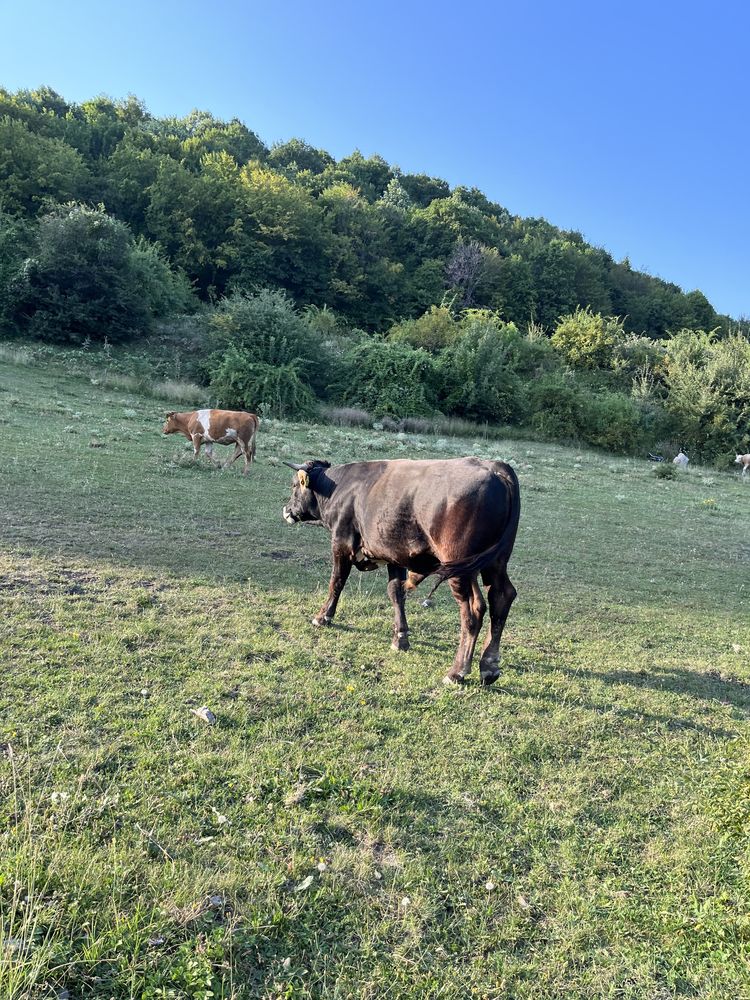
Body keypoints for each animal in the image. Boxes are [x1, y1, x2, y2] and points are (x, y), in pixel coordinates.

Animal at [282, 456, 524, 684]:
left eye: (294, 485)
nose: (286, 510)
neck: (341, 488)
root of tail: (494, 466)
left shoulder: (341, 544)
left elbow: (337, 582)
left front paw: (323, 617)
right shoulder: (394, 554)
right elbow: (396, 592)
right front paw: (400, 637)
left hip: (461, 568)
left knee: (473, 610)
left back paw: (457, 671)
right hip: (495, 562)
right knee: (502, 596)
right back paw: (489, 666)